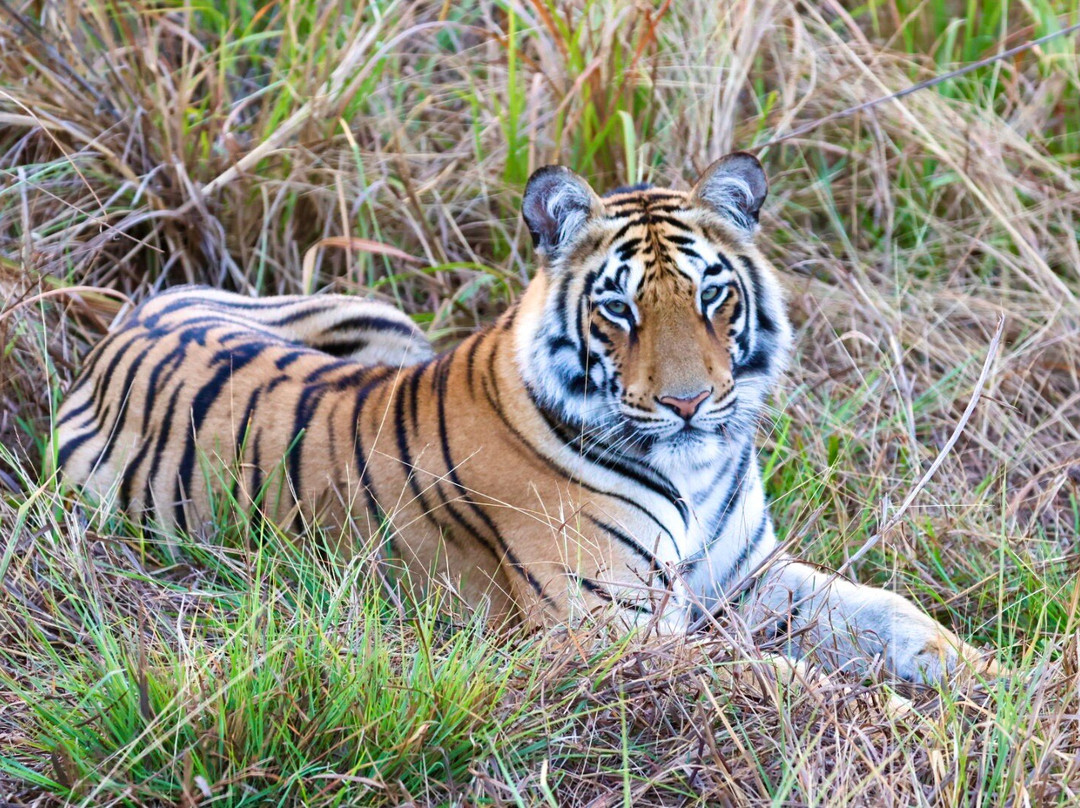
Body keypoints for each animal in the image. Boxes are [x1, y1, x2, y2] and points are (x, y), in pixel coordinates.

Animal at [54, 152, 996, 683]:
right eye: (618, 309)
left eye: (712, 295)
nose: (690, 402)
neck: (695, 465)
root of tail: (134, 310)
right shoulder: (612, 628)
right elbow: (794, 687)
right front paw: (914, 722)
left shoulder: (747, 577)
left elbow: (888, 610)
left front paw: (984, 678)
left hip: (388, 324)